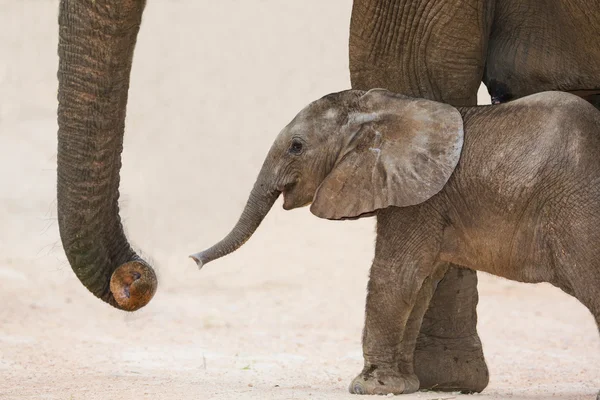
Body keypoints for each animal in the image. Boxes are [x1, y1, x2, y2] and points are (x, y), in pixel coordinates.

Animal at [192, 90, 600, 394]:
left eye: (296, 147)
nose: (194, 260)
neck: (383, 107)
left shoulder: (416, 198)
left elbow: (396, 276)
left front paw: (368, 387)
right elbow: (420, 285)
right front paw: (404, 385)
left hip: (577, 213)